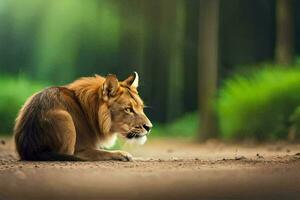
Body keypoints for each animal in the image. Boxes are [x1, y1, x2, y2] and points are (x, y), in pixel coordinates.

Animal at [14, 72, 152, 161]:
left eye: (141, 107)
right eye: (128, 109)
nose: (149, 127)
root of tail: (29, 148)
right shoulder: (81, 149)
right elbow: (103, 153)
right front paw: (123, 154)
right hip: (65, 119)